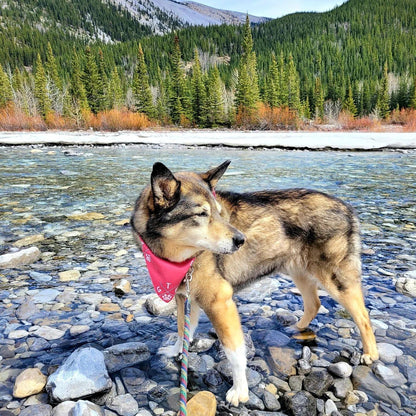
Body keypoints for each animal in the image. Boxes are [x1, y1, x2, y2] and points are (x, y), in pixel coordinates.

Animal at [132, 160, 378, 406]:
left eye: (219, 213)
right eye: (201, 214)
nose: (241, 240)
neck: (179, 259)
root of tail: (346, 207)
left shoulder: (219, 302)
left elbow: (234, 352)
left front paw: (240, 389)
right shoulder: (186, 296)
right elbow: (183, 329)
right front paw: (176, 351)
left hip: (336, 279)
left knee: (363, 316)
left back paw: (370, 353)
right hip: (299, 272)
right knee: (314, 303)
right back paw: (297, 327)